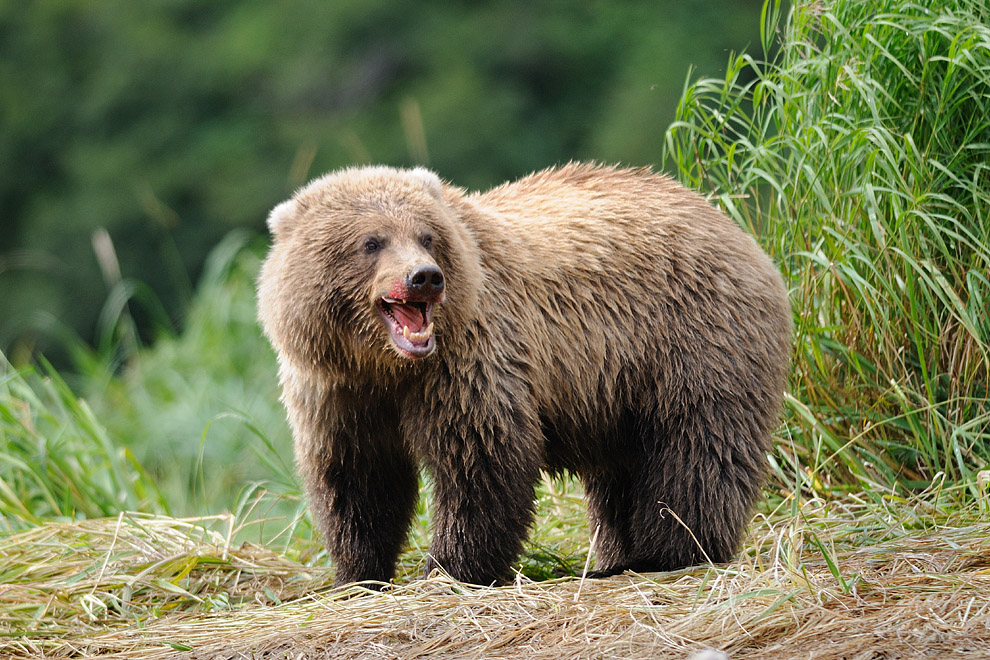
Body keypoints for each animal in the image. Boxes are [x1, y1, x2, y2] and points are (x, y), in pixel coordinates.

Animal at [260, 162, 796, 584]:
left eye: (427, 235)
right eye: (371, 241)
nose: (424, 277)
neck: (385, 366)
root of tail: (737, 230)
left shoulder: (466, 360)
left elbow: (480, 460)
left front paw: (450, 568)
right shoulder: (337, 392)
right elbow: (357, 479)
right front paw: (357, 573)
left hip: (691, 341)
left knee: (696, 448)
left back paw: (672, 550)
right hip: (617, 388)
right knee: (621, 472)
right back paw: (619, 555)